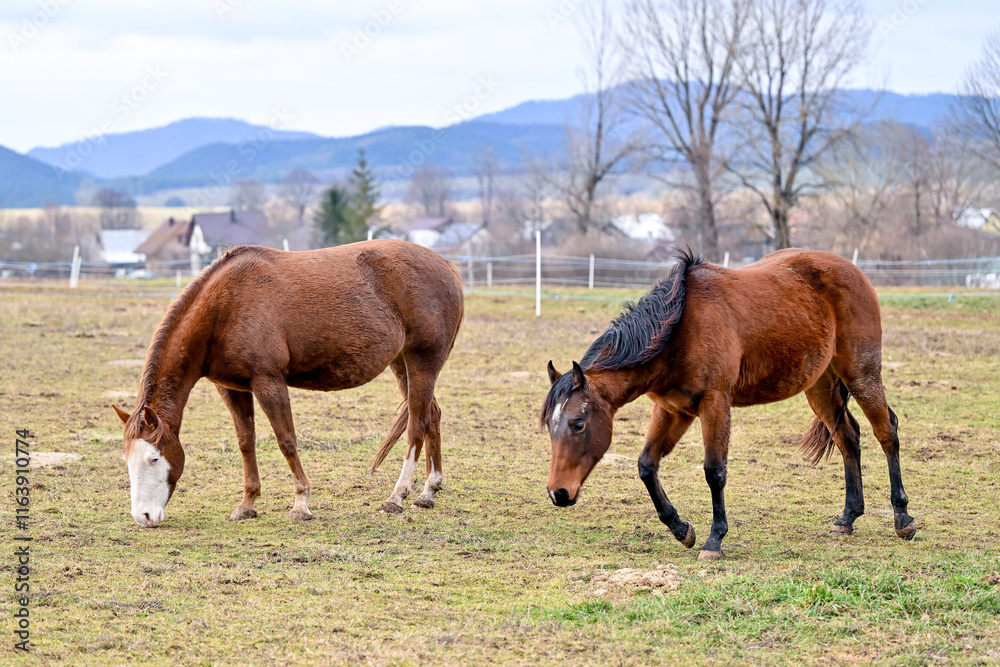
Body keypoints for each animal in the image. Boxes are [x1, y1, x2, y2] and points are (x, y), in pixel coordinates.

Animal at [113, 240, 463, 528]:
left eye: (154, 458)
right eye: (126, 459)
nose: (143, 517)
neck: (225, 305)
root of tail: (447, 267)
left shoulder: (268, 382)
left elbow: (286, 441)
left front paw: (301, 503)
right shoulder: (233, 388)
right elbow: (246, 442)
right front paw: (247, 504)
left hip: (422, 362)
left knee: (416, 425)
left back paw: (397, 496)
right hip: (402, 364)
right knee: (432, 416)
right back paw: (428, 491)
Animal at [541, 248, 916, 560]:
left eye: (578, 424)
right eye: (549, 425)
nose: (558, 493)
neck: (678, 329)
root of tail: (853, 271)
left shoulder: (714, 403)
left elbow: (714, 471)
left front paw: (714, 540)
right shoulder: (673, 409)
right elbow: (647, 466)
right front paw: (681, 529)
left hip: (861, 374)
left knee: (886, 432)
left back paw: (902, 518)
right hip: (821, 386)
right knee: (848, 438)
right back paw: (848, 517)